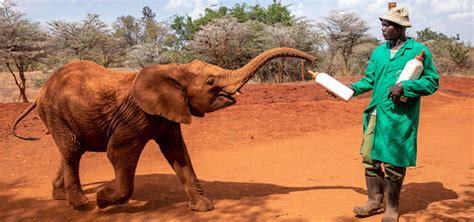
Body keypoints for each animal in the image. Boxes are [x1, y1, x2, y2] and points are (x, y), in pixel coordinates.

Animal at [12, 46, 314, 210]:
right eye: (210, 82)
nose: (312, 62)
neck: (173, 70)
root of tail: (42, 91)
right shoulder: (134, 117)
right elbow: (117, 152)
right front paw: (102, 198)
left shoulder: (169, 114)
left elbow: (179, 153)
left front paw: (203, 208)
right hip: (54, 111)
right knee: (73, 151)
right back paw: (83, 205)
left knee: (69, 151)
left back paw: (61, 196)